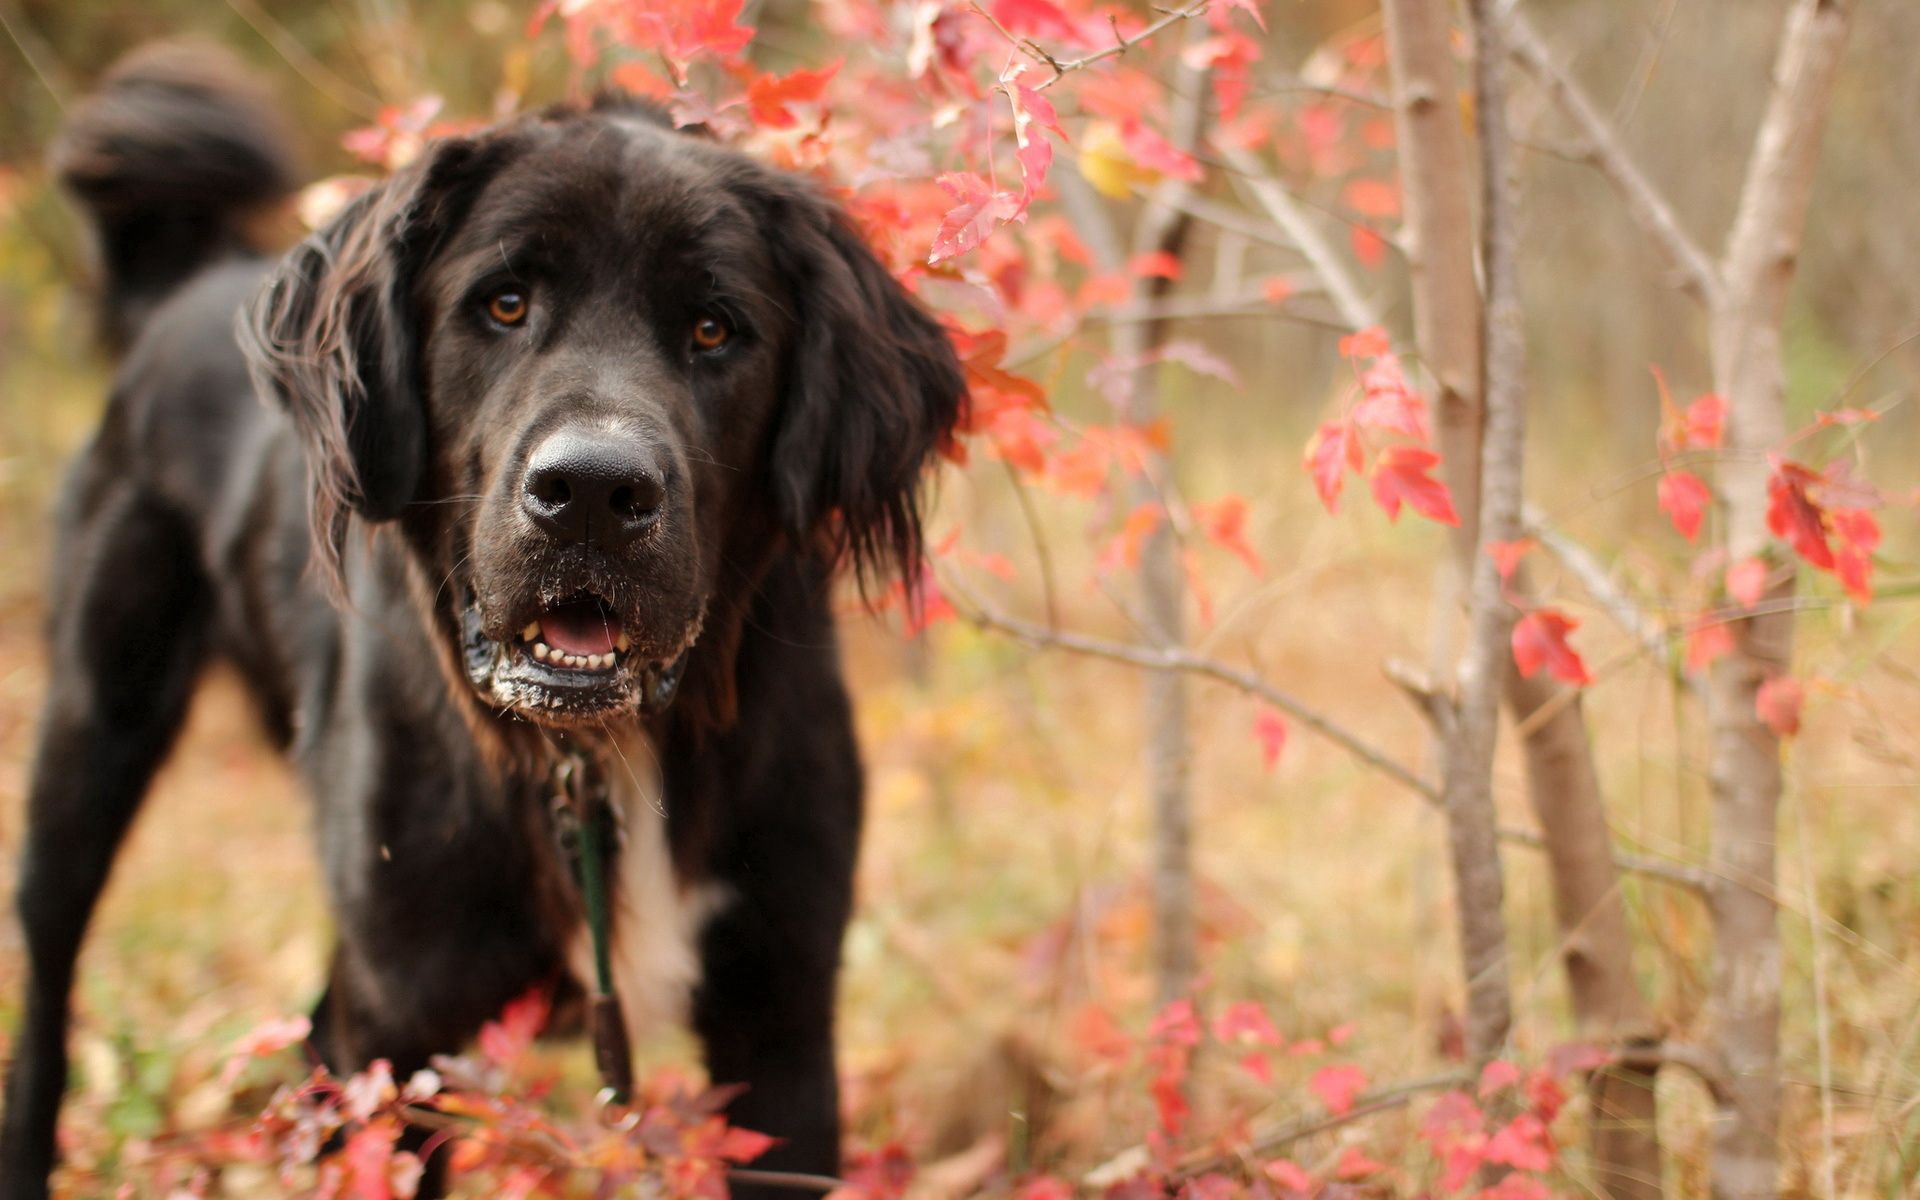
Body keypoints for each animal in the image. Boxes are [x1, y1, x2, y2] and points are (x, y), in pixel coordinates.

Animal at [0, 42, 960, 1190]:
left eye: (714, 329)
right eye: (503, 305)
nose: (590, 492)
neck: (591, 755)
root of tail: (187, 286)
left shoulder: (781, 1024)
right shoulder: (407, 1024)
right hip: (89, 738)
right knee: (47, 996)